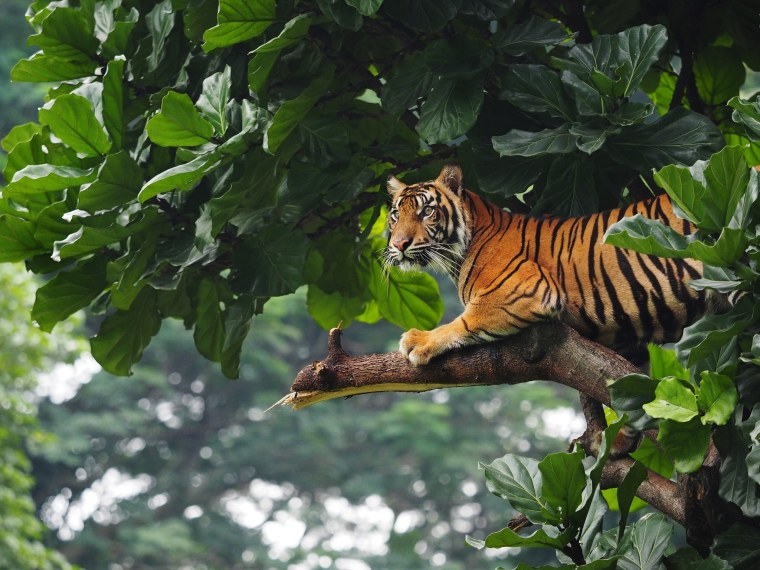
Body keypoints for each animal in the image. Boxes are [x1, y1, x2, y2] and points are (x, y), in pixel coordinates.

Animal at [385, 164, 715, 366]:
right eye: (395, 215)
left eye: (427, 212)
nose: (399, 244)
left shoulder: (523, 290)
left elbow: (464, 321)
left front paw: (419, 341)